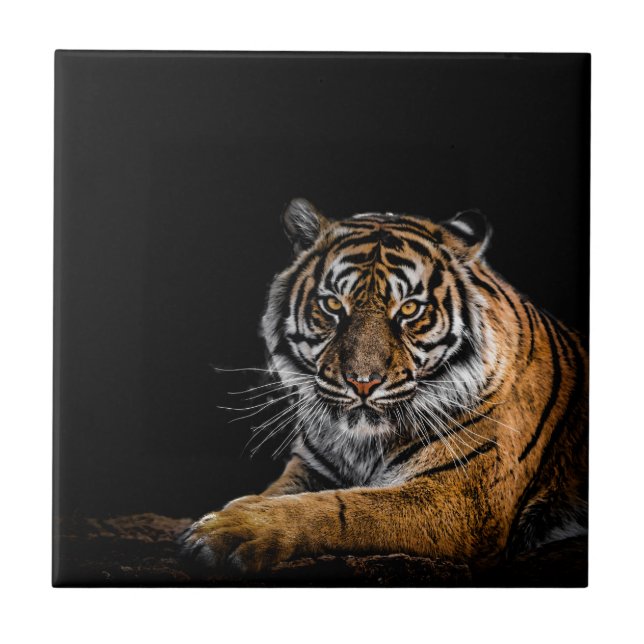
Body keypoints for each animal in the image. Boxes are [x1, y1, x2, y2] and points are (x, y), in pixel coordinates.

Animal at [181, 198, 588, 576]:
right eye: (332, 305)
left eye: (409, 309)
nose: (363, 383)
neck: (362, 444)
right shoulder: (310, 467)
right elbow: (274, 494)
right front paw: (227, 513)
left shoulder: (460, 499)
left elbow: (340, 508)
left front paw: (228, 530)